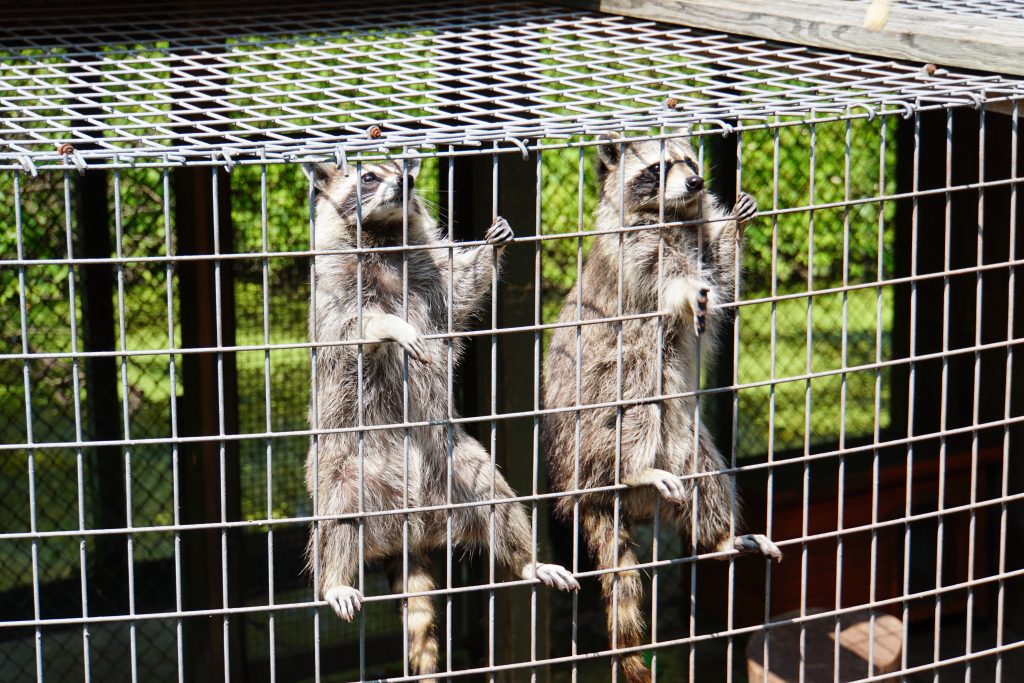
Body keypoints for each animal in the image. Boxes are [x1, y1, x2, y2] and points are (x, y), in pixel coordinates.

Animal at [306, 159, 579, 682]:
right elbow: (354, 328)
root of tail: (408, 530)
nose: (406, 181)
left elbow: (461, 290)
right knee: (336, 520)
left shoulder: (430, 275)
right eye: (369, 176)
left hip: (454, 462)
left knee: (496, 497)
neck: (386, 239)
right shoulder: (333, 295)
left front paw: (492, 246)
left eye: (401, 167)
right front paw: (388, 325)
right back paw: (333, 580)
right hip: (344, 469)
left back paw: (528, 561)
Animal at [542, 136, 781, 683]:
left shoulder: (697, 238)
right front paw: (688, 288)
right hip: (590, 419)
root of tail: (586, 493)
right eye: (657, 168)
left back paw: (719, 540)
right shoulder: (636, 250)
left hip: (687, 450)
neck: (674, 216)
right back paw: (633, 469)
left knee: (706, 474)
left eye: (690, 161)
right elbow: (669, 282)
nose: (696, 181)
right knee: (636, 377)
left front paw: (735, 228)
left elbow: (721, 272)